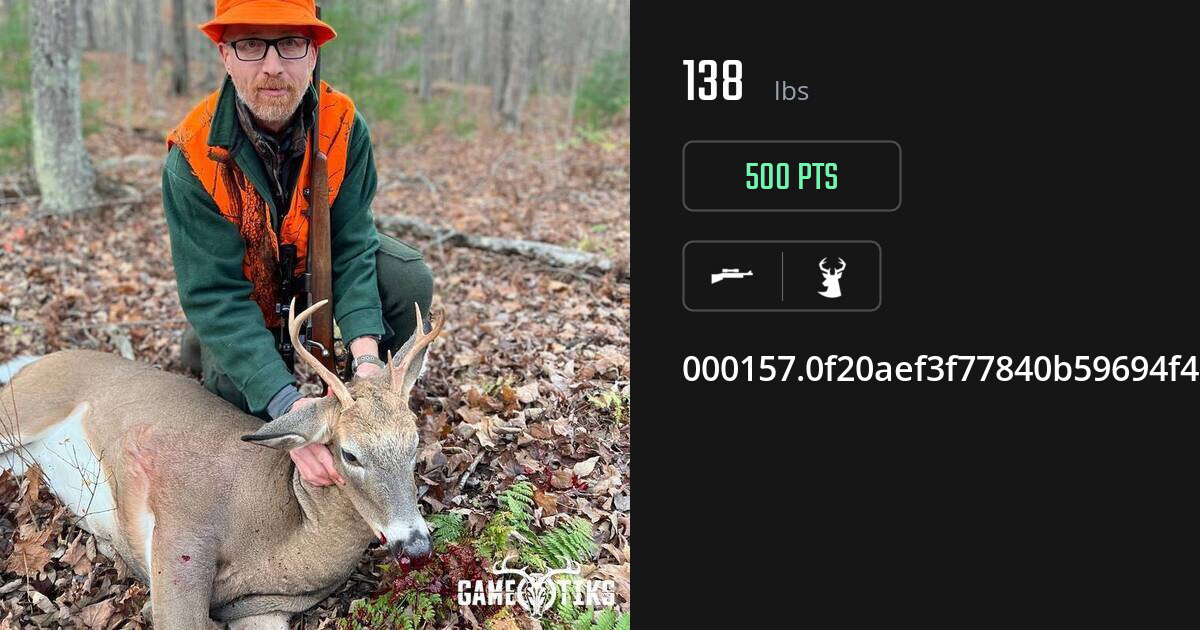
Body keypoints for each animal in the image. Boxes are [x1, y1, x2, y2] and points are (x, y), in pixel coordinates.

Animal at [0, 299, 444, 629]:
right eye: (350, 454)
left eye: (414, 442)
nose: (416, 545)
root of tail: (35, 361)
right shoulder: (182, 527)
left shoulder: (269, 607)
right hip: (24, 409)